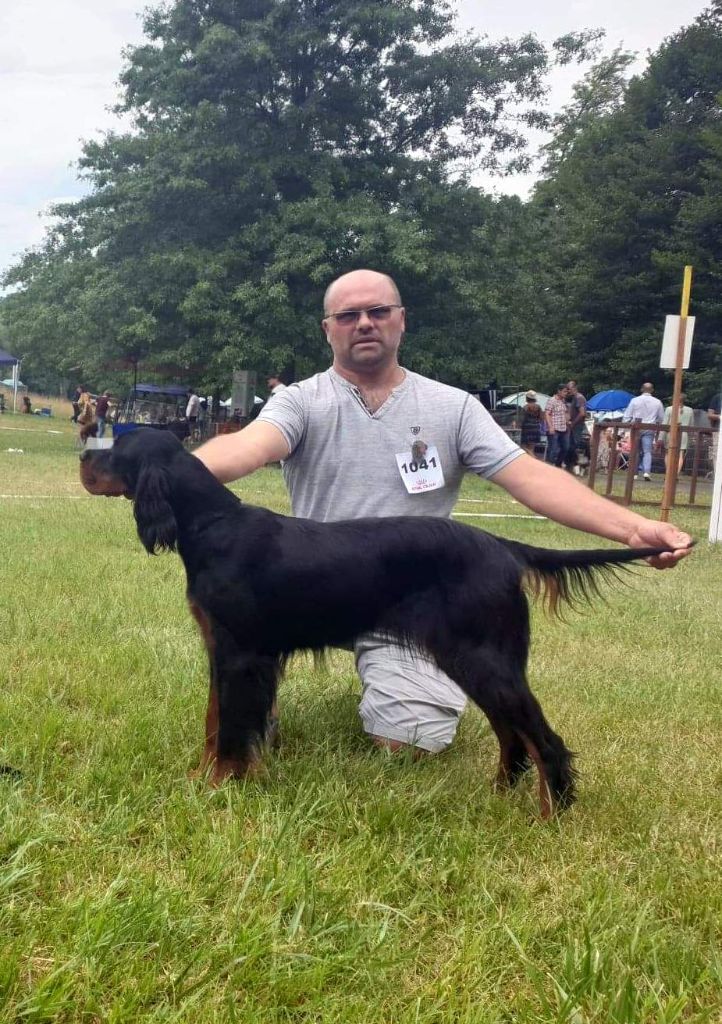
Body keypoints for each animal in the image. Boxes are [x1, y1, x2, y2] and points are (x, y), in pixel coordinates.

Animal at [81, 428, 671, 819]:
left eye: (117, 448)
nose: (84, 452)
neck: (211, 525)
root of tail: (501, 547)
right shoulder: (222, 650)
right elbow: (213, 720)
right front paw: (202, 777)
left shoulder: (242, 656)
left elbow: (229, 730)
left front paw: (219, 787)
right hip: (474, 661)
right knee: (513, 736)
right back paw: (499, 797)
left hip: (485, 659)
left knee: (543, 739)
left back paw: (551, 815)